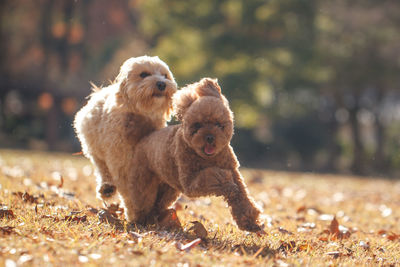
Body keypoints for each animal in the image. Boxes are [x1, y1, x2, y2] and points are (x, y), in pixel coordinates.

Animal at [74, 57, 177, 203]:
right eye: (144, 74)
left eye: (165, 75)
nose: (162, 84)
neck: (140, 118)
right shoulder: (121, 161)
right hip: (95, 151)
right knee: (102, 169)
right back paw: (107, 188)